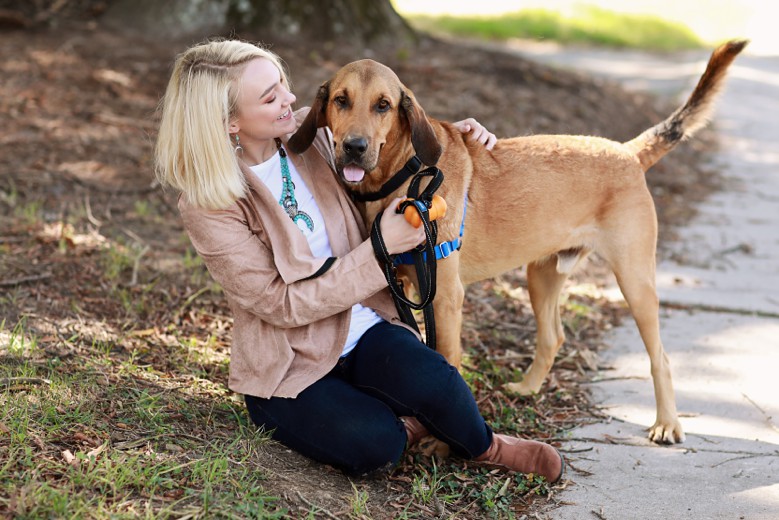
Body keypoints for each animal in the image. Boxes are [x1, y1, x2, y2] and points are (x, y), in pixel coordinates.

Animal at [290, 39, 748, 442]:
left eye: (383, 105)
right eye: (341, 100)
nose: (354, 147)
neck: (405, 173)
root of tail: (627, 152)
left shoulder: (445, 297)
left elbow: (448, 361)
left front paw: (440, 442)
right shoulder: (403, 282)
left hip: (635, 282)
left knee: (661, 357)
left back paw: (667, 423)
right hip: (541, 276)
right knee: (553, 338)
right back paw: (528, 390)